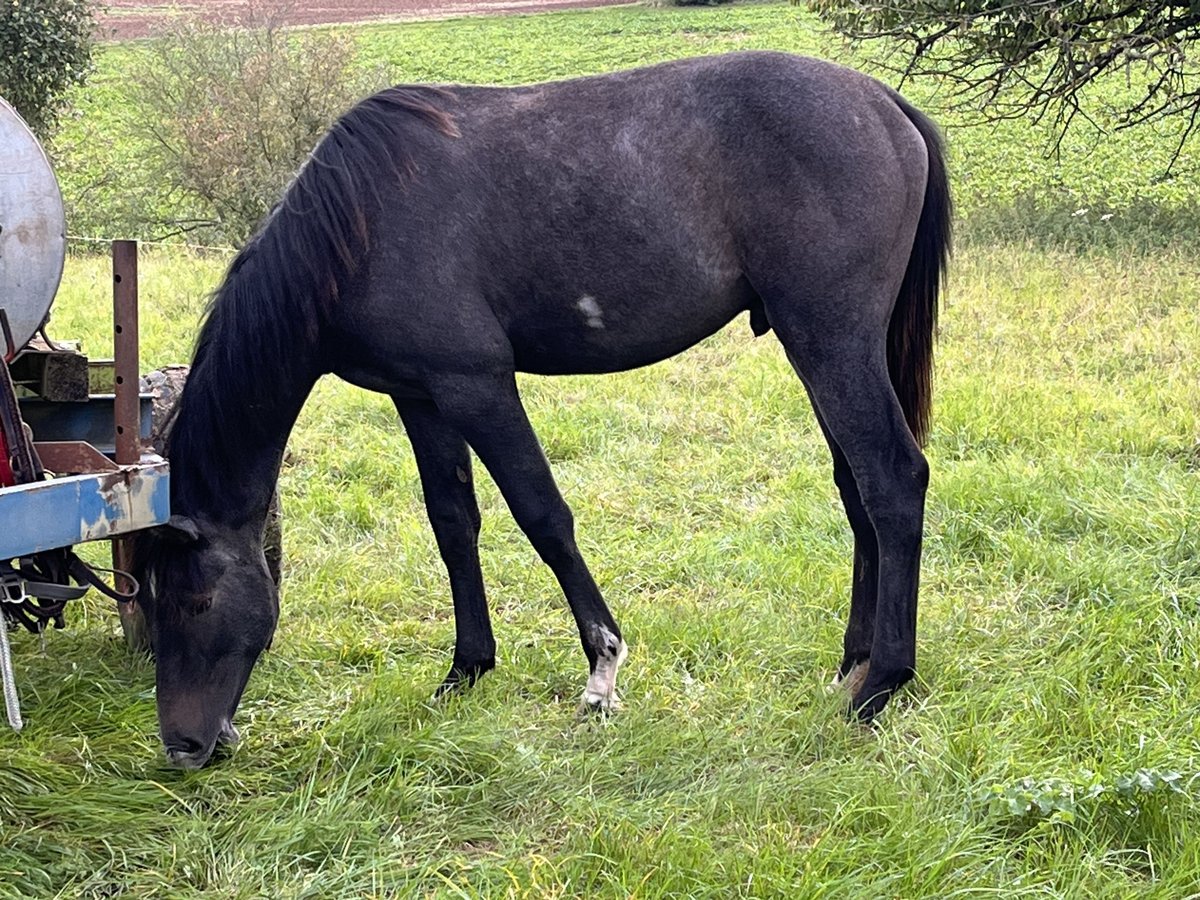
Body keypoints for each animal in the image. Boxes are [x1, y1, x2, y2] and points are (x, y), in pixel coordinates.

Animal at [133, 51, 945, 768]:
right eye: (151, 601)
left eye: (197, 602)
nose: (184, 746)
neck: (359, 226)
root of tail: (884, 103)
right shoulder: (420, 395)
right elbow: (453, 524)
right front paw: (466, 669)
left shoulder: (479, 386)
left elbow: (543, 516)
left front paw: (603, 673)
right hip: (825, 350)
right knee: (856, 489)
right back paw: (853, 660)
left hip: (830, 341)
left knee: (892, 480)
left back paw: (880, 685)